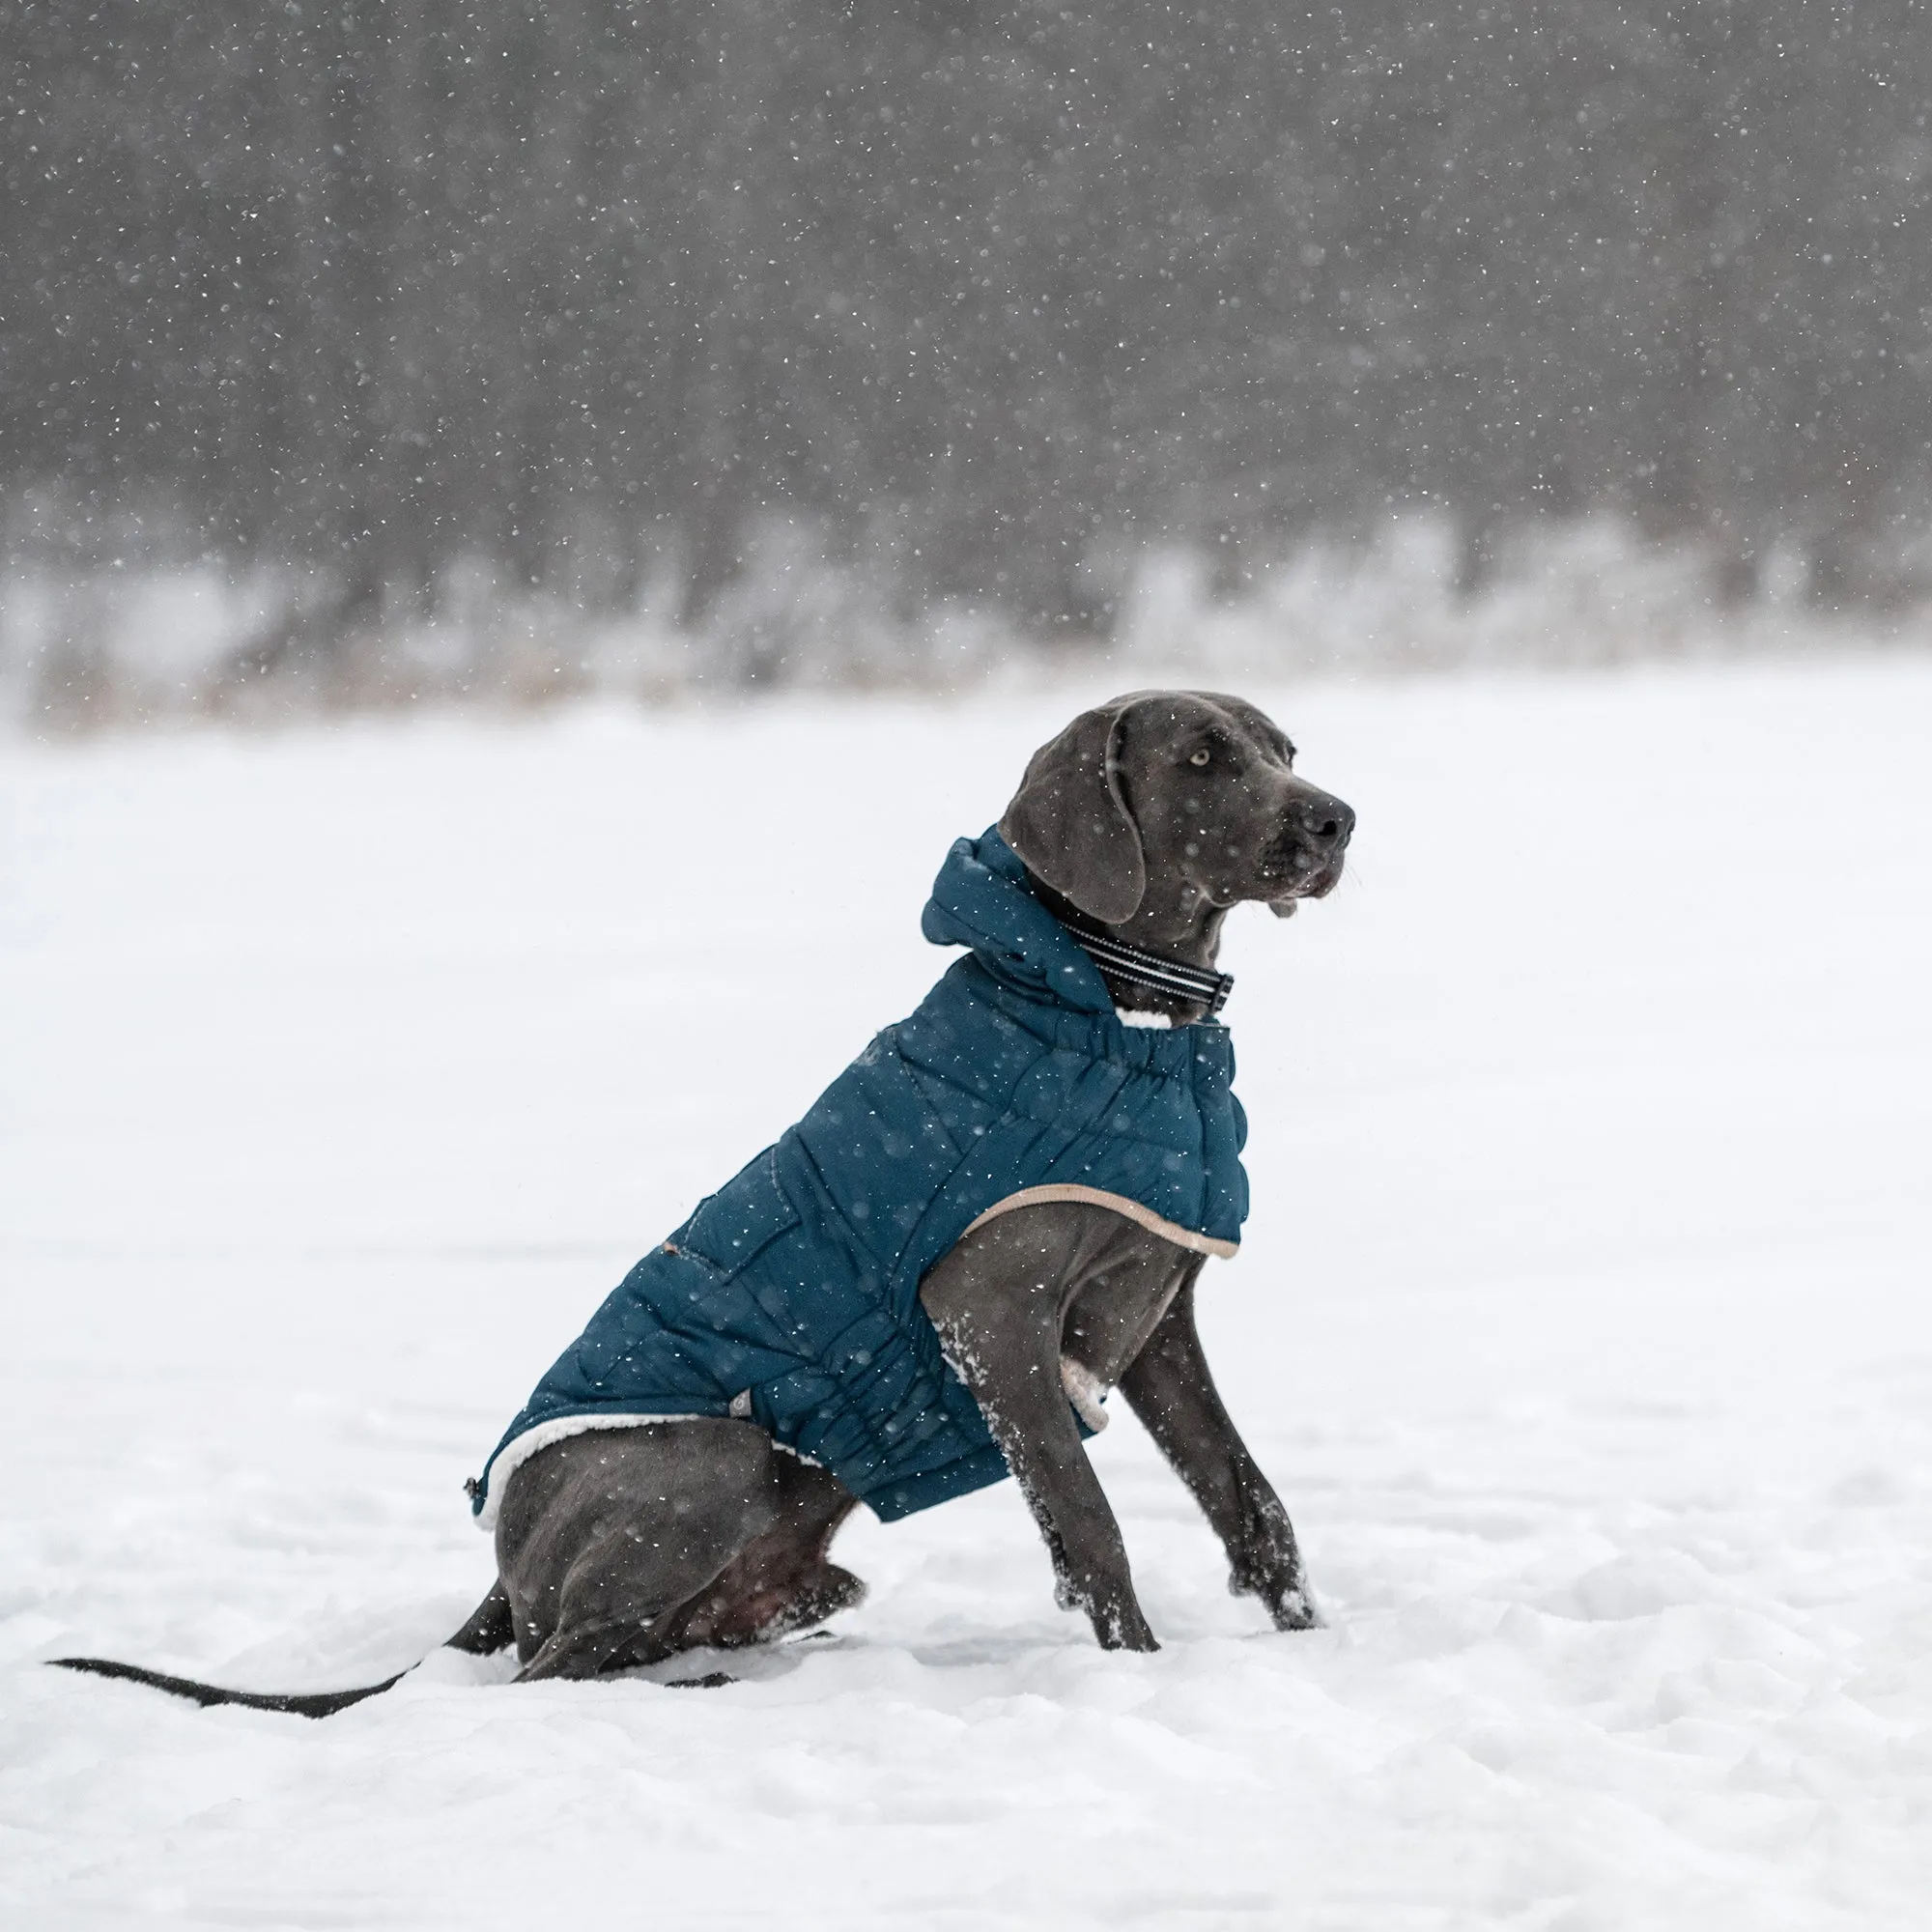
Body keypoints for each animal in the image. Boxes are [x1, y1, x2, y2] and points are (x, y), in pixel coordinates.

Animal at [60, 696, 1360, 1723]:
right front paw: (1136, 1670)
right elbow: (1086, 1517)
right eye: (1201, 757)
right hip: (717, 1454)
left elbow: (1248, 1498)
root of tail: (501, 1557)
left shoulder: (1154, 1318)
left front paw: (1315, 1643)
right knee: (547, 1665)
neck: (1121, 1017)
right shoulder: (986, 1312)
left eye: (1281, 746)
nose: (1336, 818)